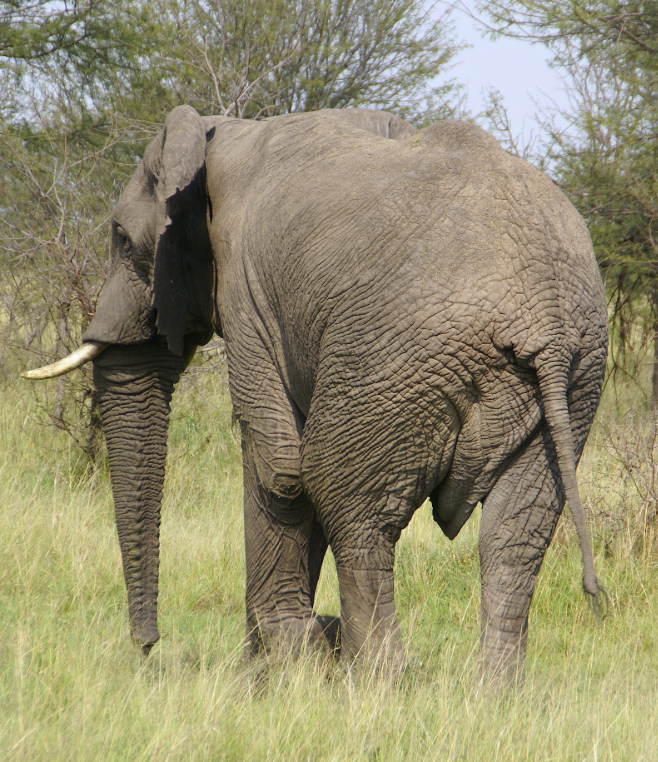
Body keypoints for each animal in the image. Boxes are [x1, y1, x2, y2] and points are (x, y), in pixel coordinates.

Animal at [25, 102, 604, 676]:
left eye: (123, 240)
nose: (147, 648)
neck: (219, 133)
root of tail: (545, 317)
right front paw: (283, 659)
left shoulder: (248, 294)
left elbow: (281, 467)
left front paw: (282, 660)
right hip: (574, 382)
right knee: (514, 534)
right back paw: (490, 690)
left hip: (392, 362)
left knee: (351, 505)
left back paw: (375, 679)